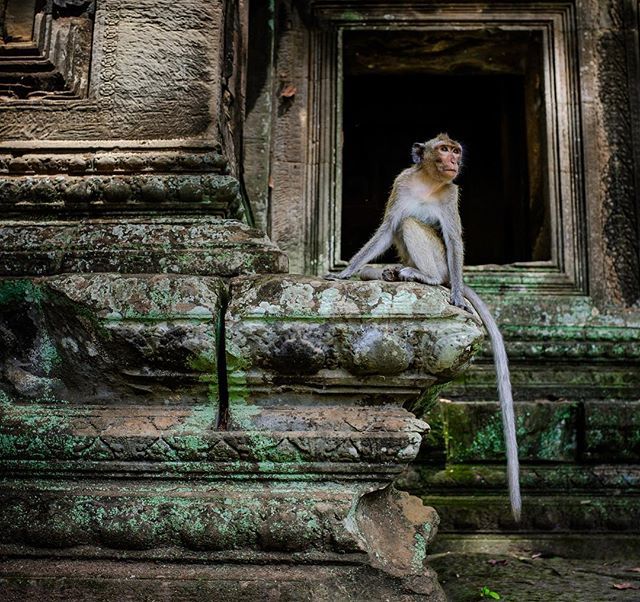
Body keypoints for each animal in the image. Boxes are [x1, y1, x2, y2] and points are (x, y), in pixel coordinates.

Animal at [325, 133, 521, 521]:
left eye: (456, 150)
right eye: (444, 150)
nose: (454, 161)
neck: (429, 183)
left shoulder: (451, 194)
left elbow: (454, 240)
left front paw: (457, 296)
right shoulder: (401, 183)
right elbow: (387, 228)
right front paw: (346, 273)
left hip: (442, 265)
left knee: (416, 227)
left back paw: (425, 278)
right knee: (403, 225)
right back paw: (386, 273)